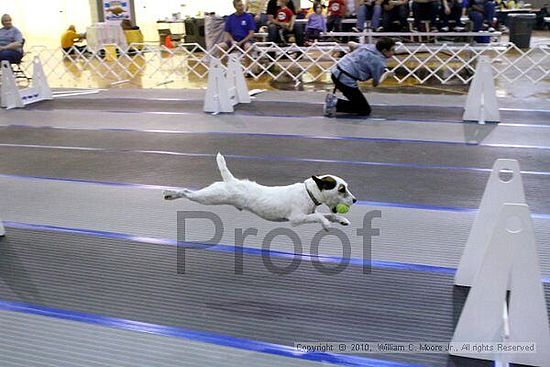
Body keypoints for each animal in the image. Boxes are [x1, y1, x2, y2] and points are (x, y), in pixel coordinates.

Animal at [164, 154, 358, 231]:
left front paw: (341, 219)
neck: (308, 192)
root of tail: (231, 180)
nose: (355, 200)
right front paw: (326, 224)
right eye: (341, 189)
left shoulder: (310, 212)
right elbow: (319, 217)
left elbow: (328, 214)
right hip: (210, 197)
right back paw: (171, 194)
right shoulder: (297, 219)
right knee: (187, 192)